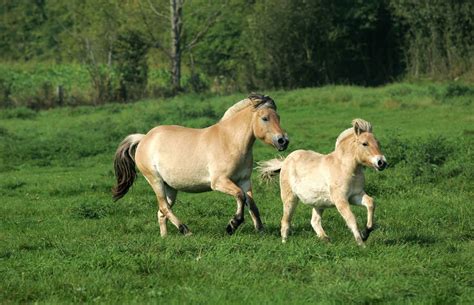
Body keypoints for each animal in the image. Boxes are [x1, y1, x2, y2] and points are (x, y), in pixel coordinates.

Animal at [112, 94, 288, 236]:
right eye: (265, 118)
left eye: (278, 117)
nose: (283, 141)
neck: (229, 141)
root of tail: (144, 139)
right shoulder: (219, 182)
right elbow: (240, 196)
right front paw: (232, 225)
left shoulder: (244, 180)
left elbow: (252, 204)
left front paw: (261, 230)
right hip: (155, 181)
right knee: (164, 208)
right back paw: (185, 230)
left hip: (170, 187)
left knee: (161, 212)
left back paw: (165, 237)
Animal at [258, 117, 386, 246]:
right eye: (364, 143)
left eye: (378, 143)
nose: (382, 162)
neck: (345, 168)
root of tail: (285, 161)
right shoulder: (341, 200)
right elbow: (351, 218)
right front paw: (361, 243)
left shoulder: (355, 196)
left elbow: (370, 203)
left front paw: (366, 232)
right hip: (290, 198)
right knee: (285, 221)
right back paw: (285, 242)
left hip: (318, 203)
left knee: (314, 221)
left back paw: (325, 239)